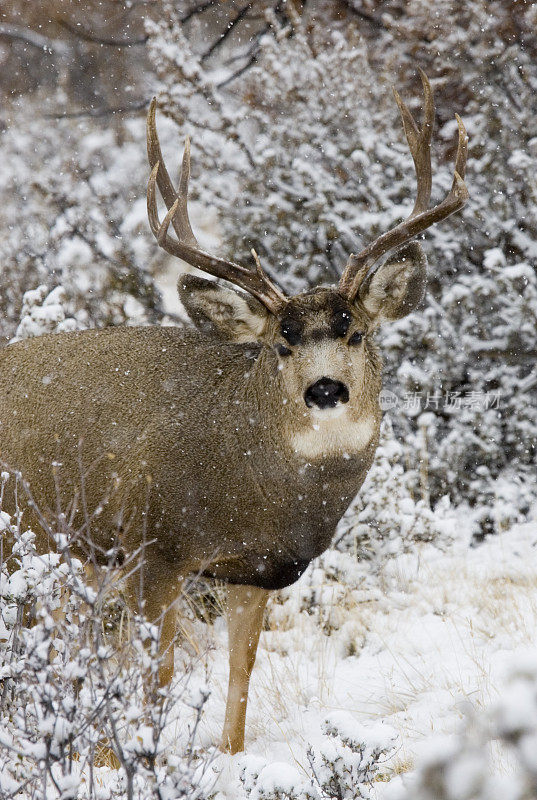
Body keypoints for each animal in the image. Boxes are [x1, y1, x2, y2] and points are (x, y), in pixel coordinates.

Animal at [0, 70, 466, 756]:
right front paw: (140, 755)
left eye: (355, 334)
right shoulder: (152, 547)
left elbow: (240, 684)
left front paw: (228, 758)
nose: (325, 390)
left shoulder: (257, 571)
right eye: (281, 343)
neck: (244, 481)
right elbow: (156, 678)